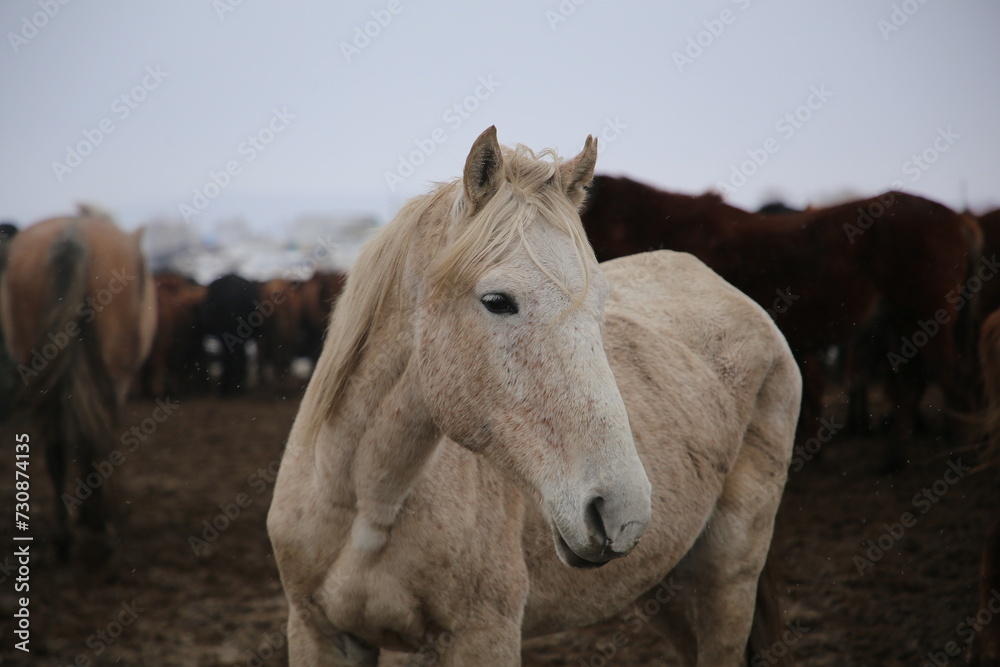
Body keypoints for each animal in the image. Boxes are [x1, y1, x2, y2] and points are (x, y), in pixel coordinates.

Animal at [0, 205, 156, 561]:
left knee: (56, 445)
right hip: (111, 375)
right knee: (97, 438)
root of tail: (71, 234)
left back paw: (64, 538)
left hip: (38, 370)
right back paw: (101, 526)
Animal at [267, 127, 802, 665]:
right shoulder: (316, 631)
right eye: (497, 301)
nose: (621, 511)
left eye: (601, 303)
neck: (365, 501)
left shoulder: (482, 636)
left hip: (727, 579)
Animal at [581, 175, 978, 470]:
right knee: (908, 387)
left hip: (927, 318)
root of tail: (959, 219)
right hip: (903, 325)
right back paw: (895, 458)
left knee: (952, 378)